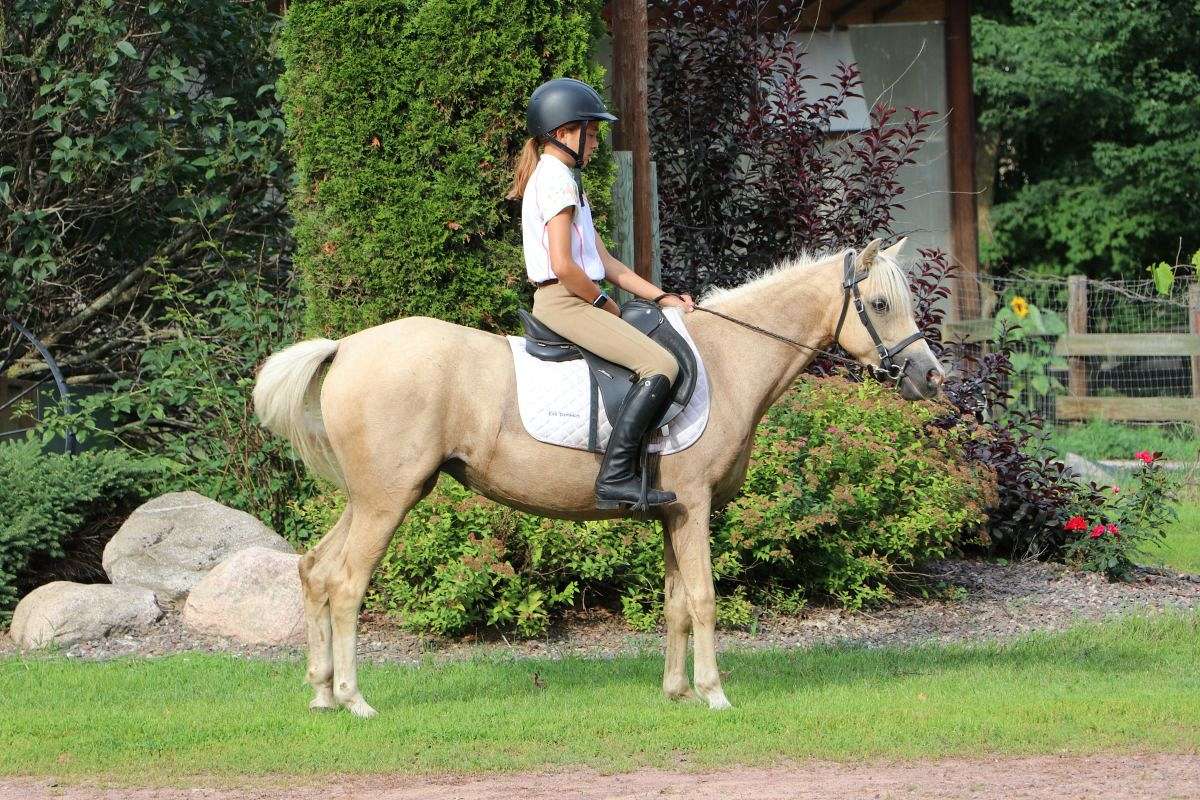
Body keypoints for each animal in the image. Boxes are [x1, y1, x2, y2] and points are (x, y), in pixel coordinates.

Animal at [252, 237, 943, 717]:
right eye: (880, 304)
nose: (931, 378)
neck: (728, 359)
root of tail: (347, 346)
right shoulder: (694, 506)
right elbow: (703, 598)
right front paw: (714, 694)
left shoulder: (672, 511)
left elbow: (674, 602)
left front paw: (676, 692)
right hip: (387, 502)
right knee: (347, 585)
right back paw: (354, 699)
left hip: (376, 496)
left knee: (316, 571)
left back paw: (321, 694)